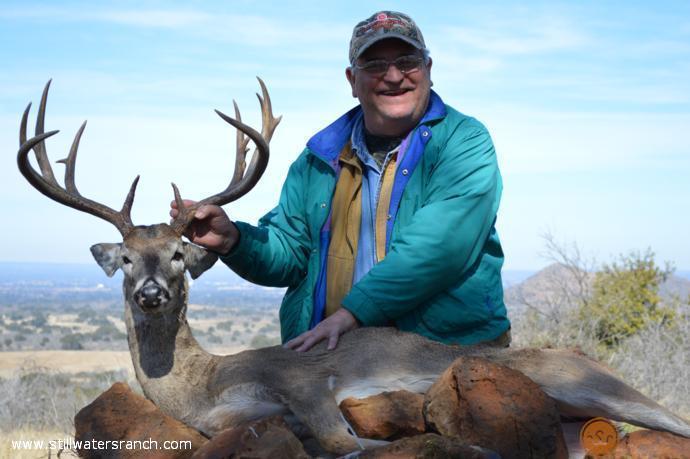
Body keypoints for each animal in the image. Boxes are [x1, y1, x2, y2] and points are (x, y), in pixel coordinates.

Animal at [16, 81, 688, 454]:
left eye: (180, 254)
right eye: (127, 258)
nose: (152, 292)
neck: (202, 388)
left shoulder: (305, 382)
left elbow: (345, 442)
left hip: (585, 381)